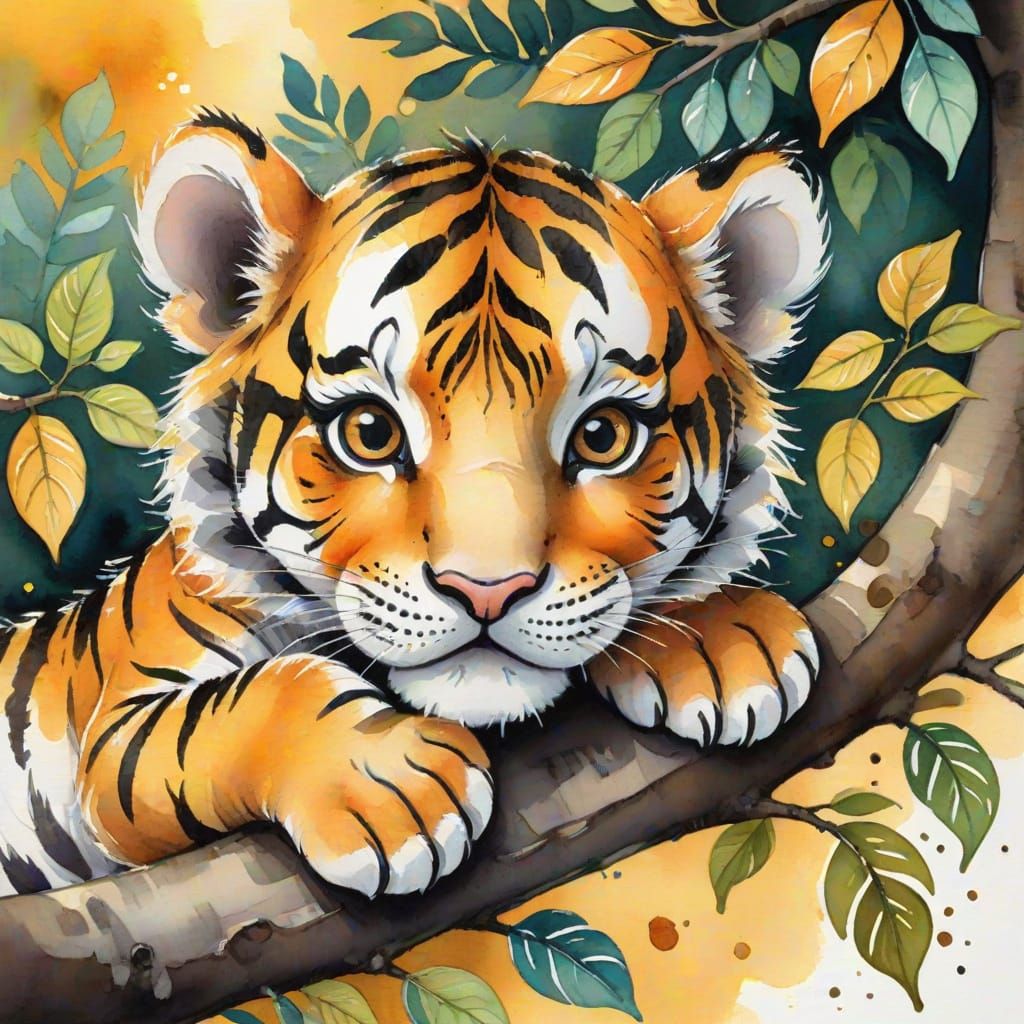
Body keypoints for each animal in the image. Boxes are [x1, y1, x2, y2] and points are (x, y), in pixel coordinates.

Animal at [0, 112, 826, 899]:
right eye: (370, 432)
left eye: (602, 435)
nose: (486, 591)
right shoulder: (118, 735)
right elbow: (255, 698)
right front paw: (388, 787)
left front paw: (725, 634)